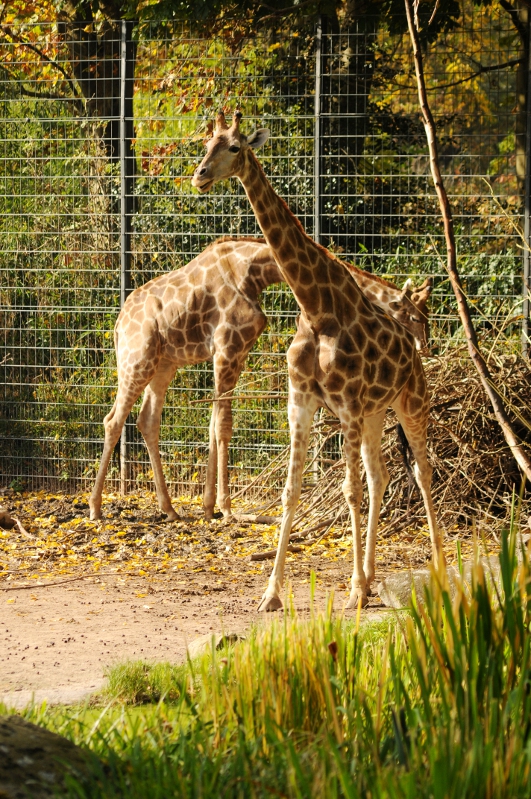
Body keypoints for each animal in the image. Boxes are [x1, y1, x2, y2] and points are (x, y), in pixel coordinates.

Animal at [89, 235, 432, 524]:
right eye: (415, 317)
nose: (423, 346)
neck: (254, 271)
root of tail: (119, 324)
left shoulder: (234, 353)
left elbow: (214, 424)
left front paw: (209, 507)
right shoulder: (227, 349)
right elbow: (224, 426)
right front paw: (227, 508)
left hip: (164, 364)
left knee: (147, 420)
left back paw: (170, 509)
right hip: (138, 360)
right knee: (113, 420)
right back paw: (95, 508)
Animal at [192, 112, 441, 611]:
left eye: (234, 147)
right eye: (205, 144)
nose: (200, 176)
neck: (316, 306)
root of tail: (411, 352)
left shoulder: (345, 404)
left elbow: (348, 491)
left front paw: (353, 592)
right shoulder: (302, 402)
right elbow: (291, 492)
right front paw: (271, 593)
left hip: (410, 402)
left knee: (422, 473)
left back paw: (436, 568)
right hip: (375, 413)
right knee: (381, 476)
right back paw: (369, 575)